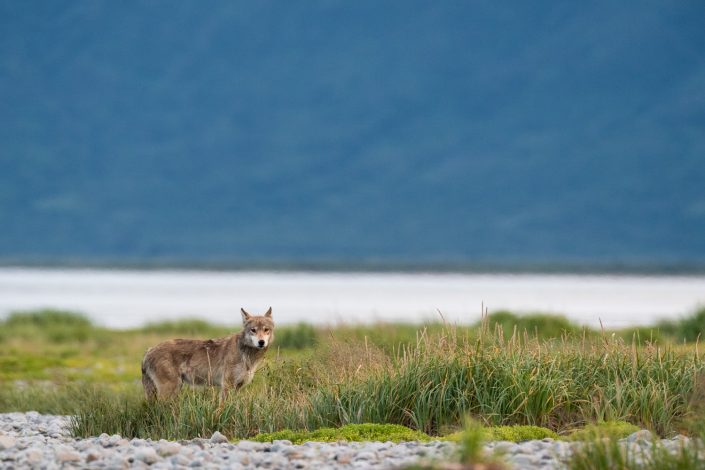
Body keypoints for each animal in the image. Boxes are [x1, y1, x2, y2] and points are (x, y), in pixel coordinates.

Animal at [142, 306, 274, 402]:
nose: (261, 342)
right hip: (170, 390)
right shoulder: (227, 385)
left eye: (266, 330)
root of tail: (149, 351)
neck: (246, 354)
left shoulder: (237, 387)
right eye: (253, 330)